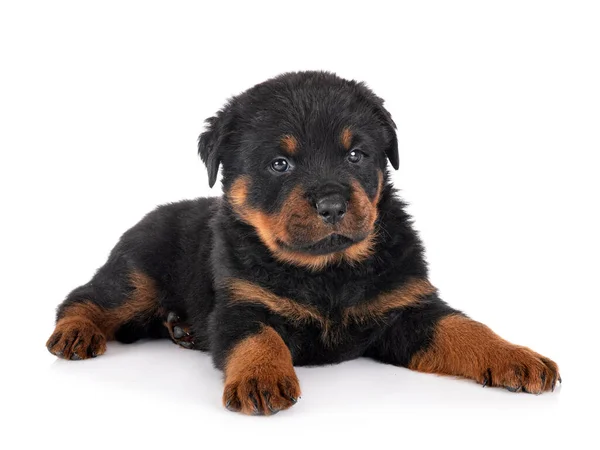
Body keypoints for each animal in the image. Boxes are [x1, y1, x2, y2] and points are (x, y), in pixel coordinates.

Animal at [49, 73, 560, 414]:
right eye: (280, 164)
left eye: (356, 155)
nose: (332, 204)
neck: (329, 272)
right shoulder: (241, 304)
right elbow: (260, 336)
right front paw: (261, 377)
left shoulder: (409, 306)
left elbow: (465, 329)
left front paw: (518, 357)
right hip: (138, 271)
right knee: (86, 297)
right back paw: (76, 333)